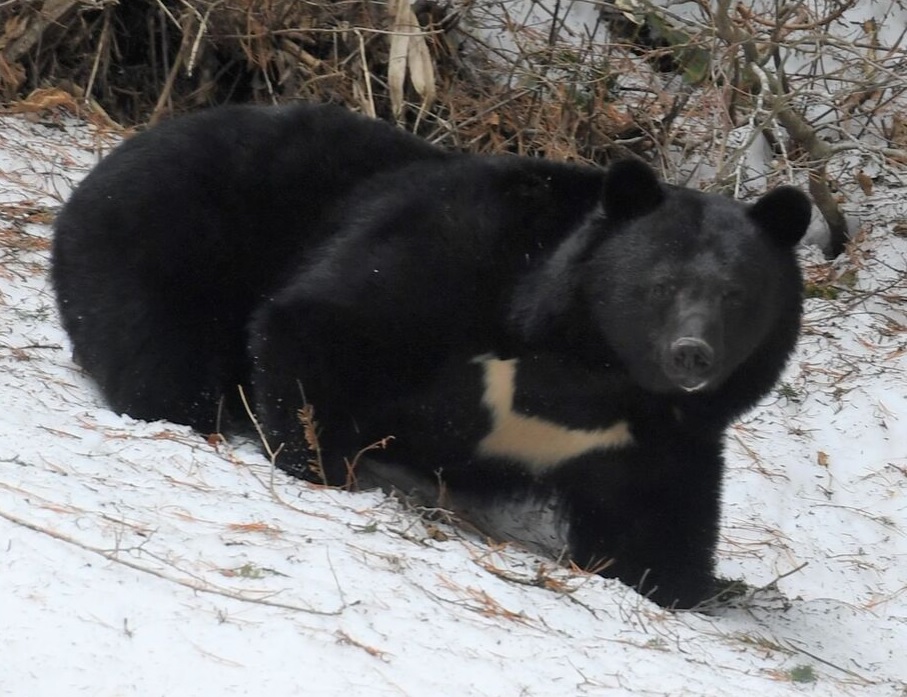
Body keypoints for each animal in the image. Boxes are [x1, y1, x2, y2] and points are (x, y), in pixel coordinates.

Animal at [52, 102, 812, 609]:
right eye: (659, 286)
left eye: (736, 294)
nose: (692, 355)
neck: (591, 369)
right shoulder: (457, 257)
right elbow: (327, 320)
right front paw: (319, 462)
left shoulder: (651, 434)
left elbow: (658, 512)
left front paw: (682, 583)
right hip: (165, 243)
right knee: (160, 356)